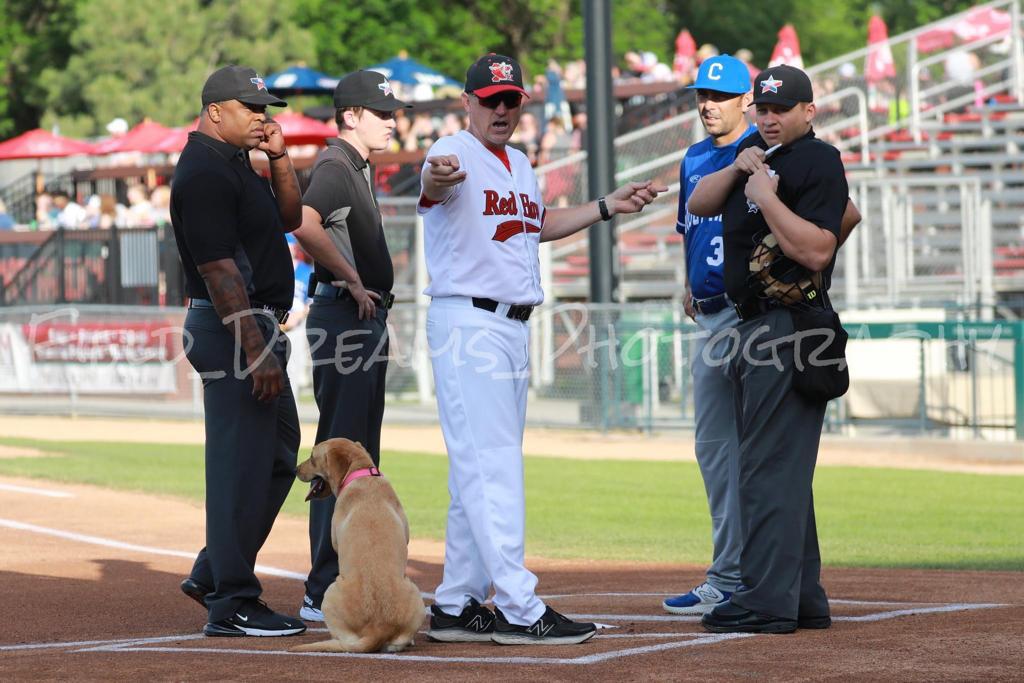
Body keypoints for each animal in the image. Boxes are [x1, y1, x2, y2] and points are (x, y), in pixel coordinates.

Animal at [292, 438, 423, 651]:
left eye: (312, 457)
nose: (295, 469)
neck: (362, 473)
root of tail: (377, 629)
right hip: (415, 592)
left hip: (330, 593)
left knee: (345, 640)